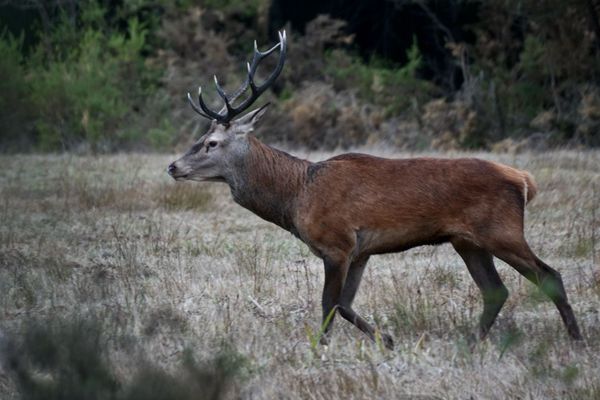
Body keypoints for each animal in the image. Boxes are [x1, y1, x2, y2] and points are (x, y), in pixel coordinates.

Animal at [168, 32, 580, 350]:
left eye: (212, 143)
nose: (172, 166)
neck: (297, 194)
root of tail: (524, 179)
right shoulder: (361, 250)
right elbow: (346, 304)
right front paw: (388, 340)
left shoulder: (336, 243)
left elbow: (329, 304)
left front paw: (319, 349)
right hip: (467, 240)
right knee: (496, 291)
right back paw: (471, 342)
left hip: (502, 231)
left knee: (549, 276)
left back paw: (576, 339)